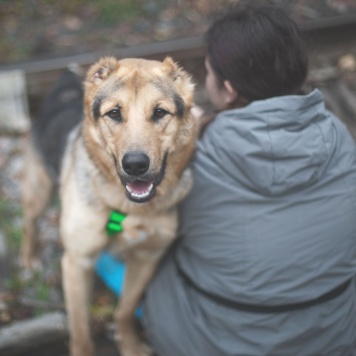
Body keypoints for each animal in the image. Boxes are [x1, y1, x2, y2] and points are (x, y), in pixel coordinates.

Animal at [23, 57, 197, 354]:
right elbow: (81, 330)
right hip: (40, 192)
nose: (135, 165)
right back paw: (29, 258)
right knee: (29, 222)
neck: (129, 209)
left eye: (160, 112)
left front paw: (130, 344)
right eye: (114, 113)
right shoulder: (77, 262)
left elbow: (125, 311)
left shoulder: (146, 258)